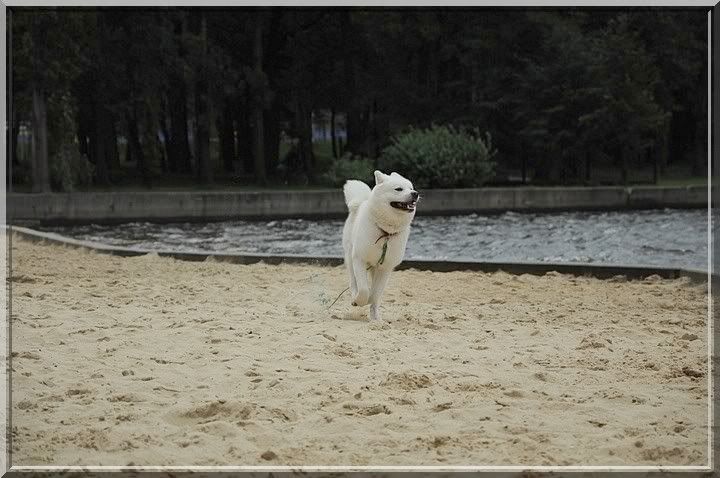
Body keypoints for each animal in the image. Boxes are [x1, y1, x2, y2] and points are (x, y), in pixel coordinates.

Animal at [342, 170, 419, 321]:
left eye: (411, 188)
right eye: (398, 189)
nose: (415, 193)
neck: (385, 233)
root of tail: (361, 202)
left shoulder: (385, 268)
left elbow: (375, 295)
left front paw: (373, 312)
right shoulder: (359, 259)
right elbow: (364, 289)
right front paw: (359, 301)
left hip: (374, 268)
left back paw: (376, 318)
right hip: (350, 257)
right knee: (353, 282)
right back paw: (355, 297)